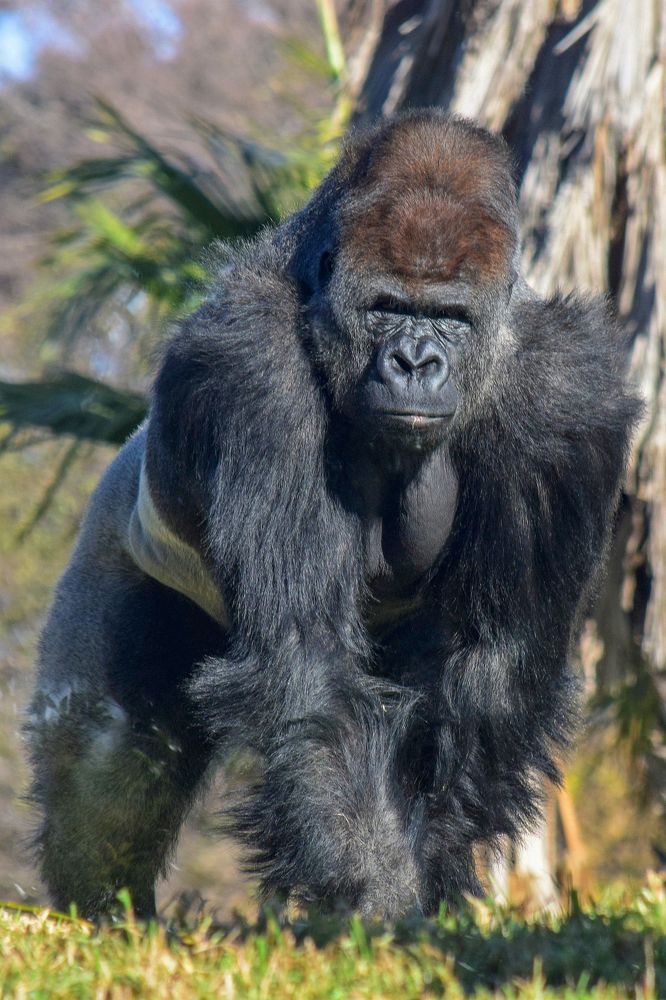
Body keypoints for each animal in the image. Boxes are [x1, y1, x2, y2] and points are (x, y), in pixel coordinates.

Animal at [25, 110, 640, 920]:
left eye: (449, 317)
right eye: (387, 308)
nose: (415, 361)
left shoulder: (569, 397)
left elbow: (492, 671)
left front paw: (418, 897)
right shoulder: (254, 368)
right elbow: (308, 663)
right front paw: (376, 902)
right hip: (121, 534)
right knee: (112, 751)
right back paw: (101, 907)